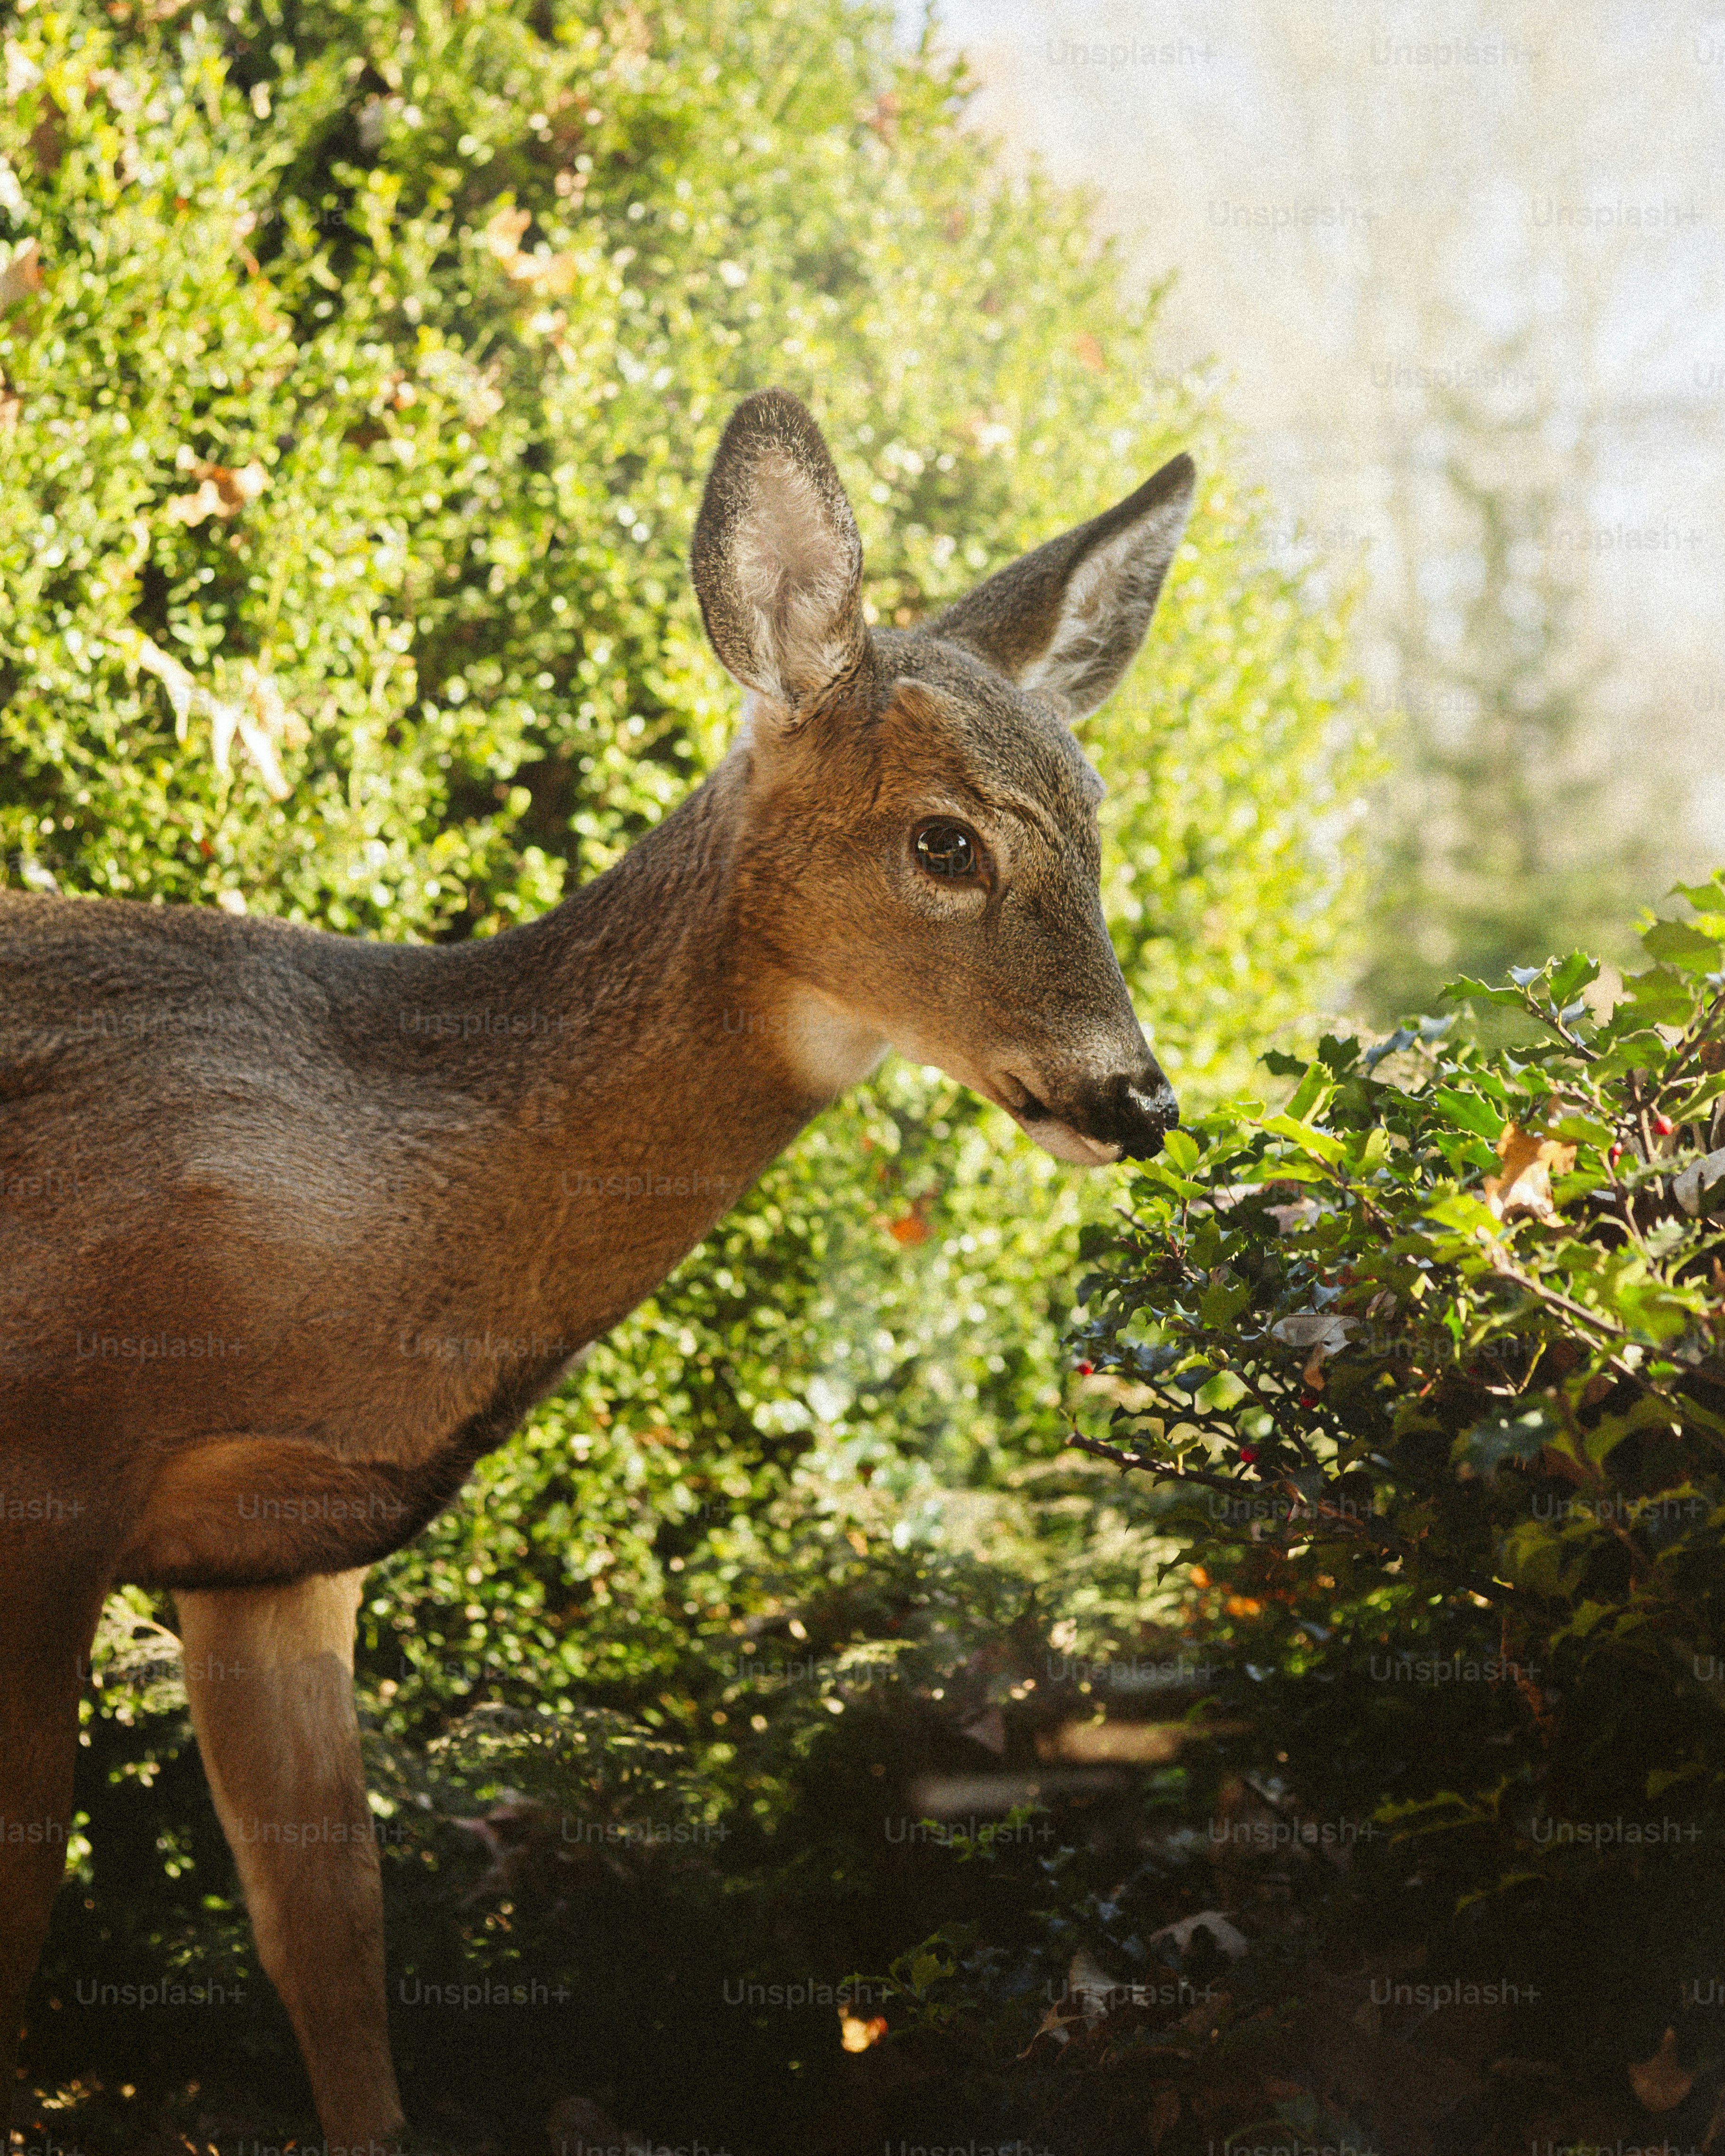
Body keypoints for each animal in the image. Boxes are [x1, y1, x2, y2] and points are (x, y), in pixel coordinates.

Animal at [0, 388, 1193, 2147]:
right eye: (945, 840)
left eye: (1102, 835)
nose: (1136, 1100)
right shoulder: (50, 1464)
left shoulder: (282, 1552)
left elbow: (333, 1943)